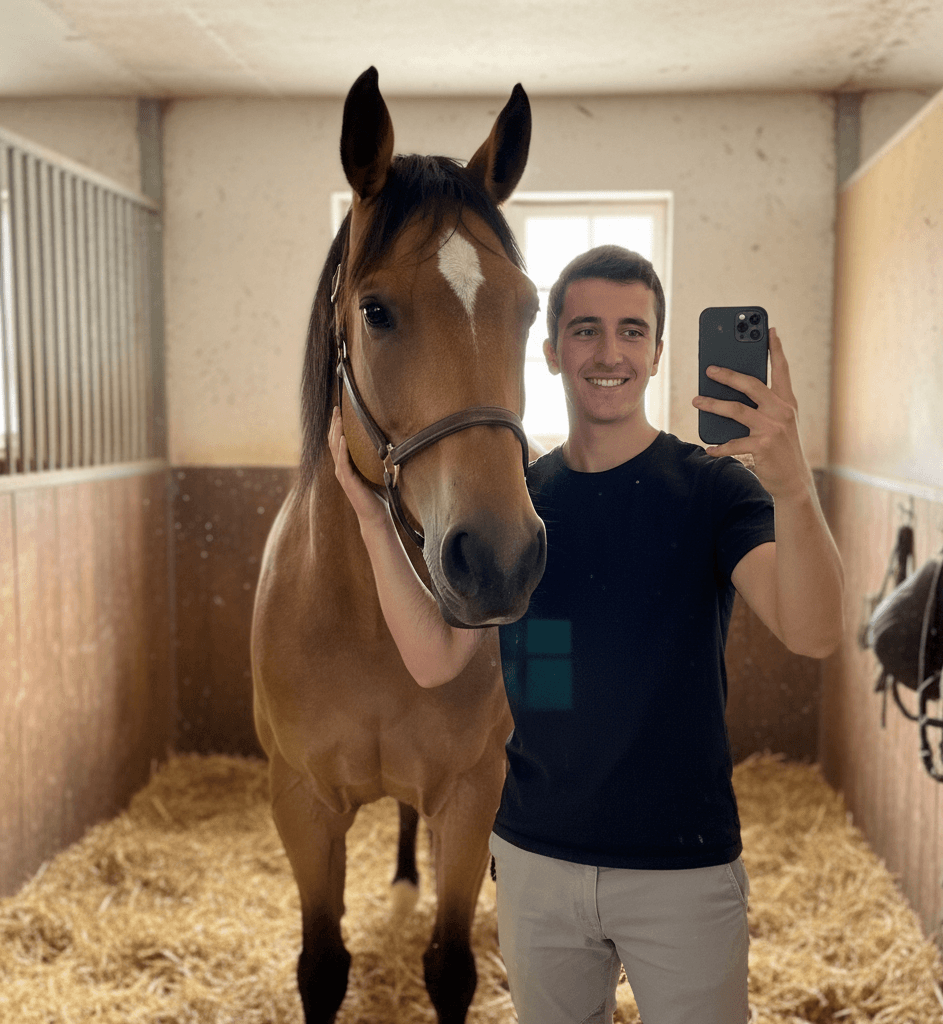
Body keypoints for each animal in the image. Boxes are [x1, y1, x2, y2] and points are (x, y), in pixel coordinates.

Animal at [251, 67, 546, 1024]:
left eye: (529, 308)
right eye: (375, 311)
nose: (496, 559)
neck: (366, 616)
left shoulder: (469, 793)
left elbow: (449, 965)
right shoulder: (302, 804)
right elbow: (321, 964)